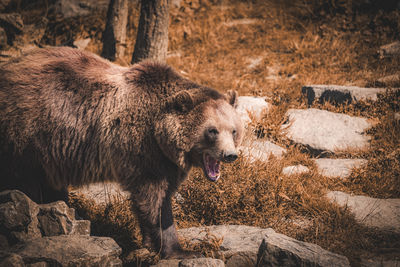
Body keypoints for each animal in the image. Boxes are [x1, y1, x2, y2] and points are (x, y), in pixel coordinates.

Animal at [0, 46, 244, 260]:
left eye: (233, 130)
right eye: (212, 130)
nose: (230, 155)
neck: (160, 134)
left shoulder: (166, 162)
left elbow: (164, 199)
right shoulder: (141, 150)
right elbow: (152, 200)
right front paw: (168, 248)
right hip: (29, 132)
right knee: (25, 179)